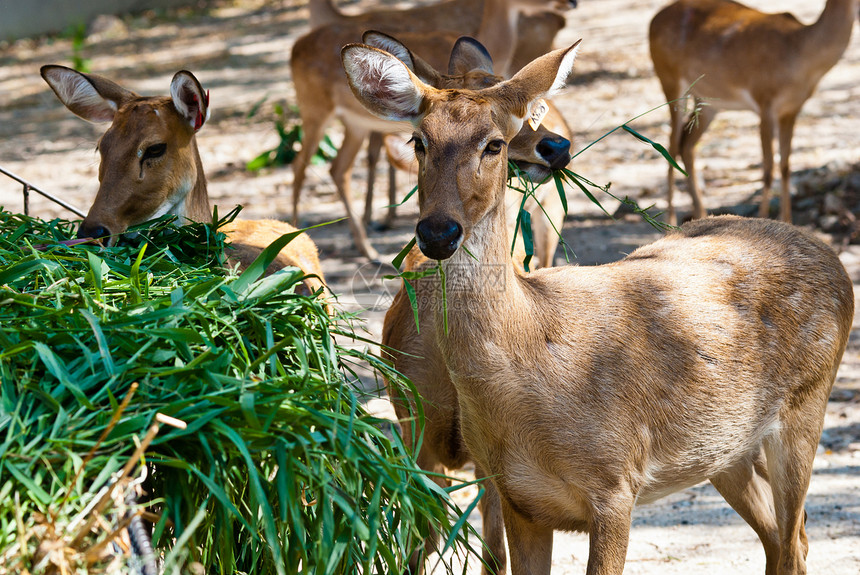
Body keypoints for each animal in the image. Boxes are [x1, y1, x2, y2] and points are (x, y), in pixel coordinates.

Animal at [342, 40, 852, 575]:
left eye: (494, 144)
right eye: (418, 141)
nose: (438, 232)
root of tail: (830, 255)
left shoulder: (615, 483)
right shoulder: (517, 497)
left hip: (805, 405)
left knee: (792, 541)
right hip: (724, 448)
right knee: (785, 538)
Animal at [652, 0, 860, 226]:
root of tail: (654, 19)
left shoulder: (791, 110)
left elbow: (786, 167)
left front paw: (788, 221)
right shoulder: (765, 103)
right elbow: (768, 170)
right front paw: (763, 217)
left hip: (707, 102)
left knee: (686, 144)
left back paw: (701, 214)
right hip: (669, 80)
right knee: (670, 145)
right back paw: (670, 221)